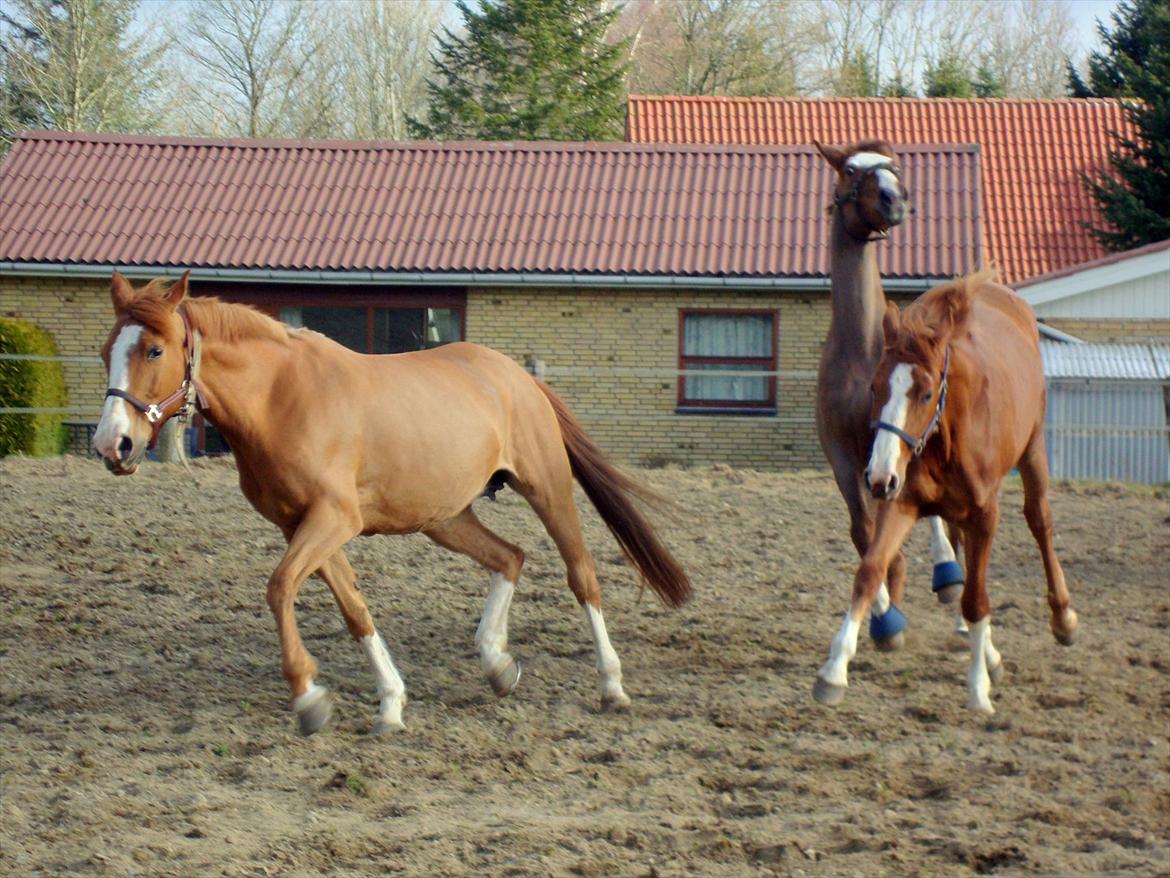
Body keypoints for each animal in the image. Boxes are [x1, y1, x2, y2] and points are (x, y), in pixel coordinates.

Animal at [98, 273, 692, 735]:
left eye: (154, 350)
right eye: (106, 353)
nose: (113, 445)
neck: (281, 399)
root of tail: (518, 376)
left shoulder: (333, 519)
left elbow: (280, 587)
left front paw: (308, 698)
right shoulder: (303, 526)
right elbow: (353, 608)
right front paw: (389, 703)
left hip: (548, 490)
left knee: (581, 574)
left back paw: (611, 685)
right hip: (444, 517)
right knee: (510, 557)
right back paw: (497, 662)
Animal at [814, 139, 968, 655]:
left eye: (893, 167)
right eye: (849, 170)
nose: (895, 198)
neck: (862, 349)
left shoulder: (890, 451)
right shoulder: (845, 458)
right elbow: (864, 535)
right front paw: (885, 618)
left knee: (952, 526)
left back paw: (952, 583)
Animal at [814, 275, 1076, 716]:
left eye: (924, 393)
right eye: (875, 387)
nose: (877, 476)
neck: (946, 435)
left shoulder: (985, 514)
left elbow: (976, 600)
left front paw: (978, 690)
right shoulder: (900, 503)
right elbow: (869, 572)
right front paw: (834, 670)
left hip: (1033, 448)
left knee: (1040, 521)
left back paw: (1062, 618)